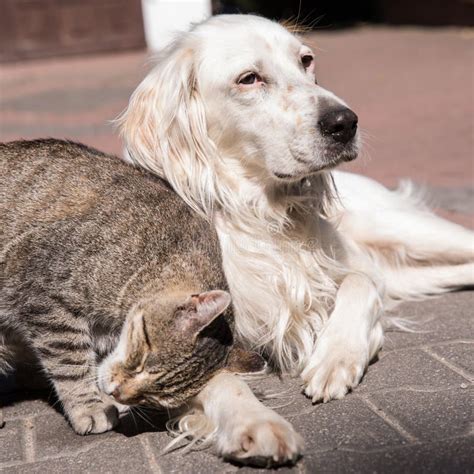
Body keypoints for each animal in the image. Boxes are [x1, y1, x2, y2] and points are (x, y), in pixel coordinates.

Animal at [1, 139, 241, 436]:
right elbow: (70, 363)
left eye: (152, 397)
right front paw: (89, 405)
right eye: (143, 362)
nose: (118, 393)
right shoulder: (44, 294)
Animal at [119, 14, 474, 466]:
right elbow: (220, 382)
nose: (345, 122)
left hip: (410, 231)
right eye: (249, 79)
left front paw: (336, 357)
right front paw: (256, 424)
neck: (261, 217)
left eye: (305, 60)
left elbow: (359, 284)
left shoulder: (355, 277)